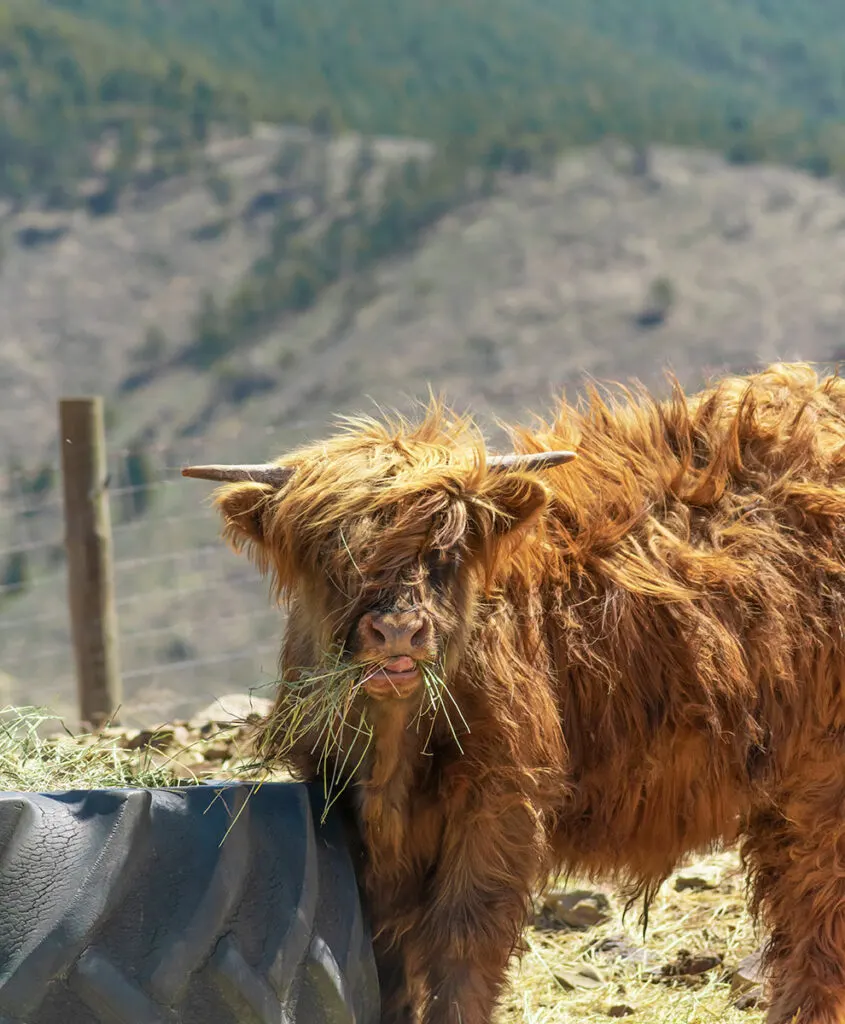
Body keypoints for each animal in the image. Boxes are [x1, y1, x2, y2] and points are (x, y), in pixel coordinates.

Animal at [184, 362, 845, 1024]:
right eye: (331, 553)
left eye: (443, 550)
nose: (397, 630)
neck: (395, 753)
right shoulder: (348, 815)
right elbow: (384, 954)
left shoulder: (499, 800)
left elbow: (463, 939)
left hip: (820, 783)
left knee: (813, 916)